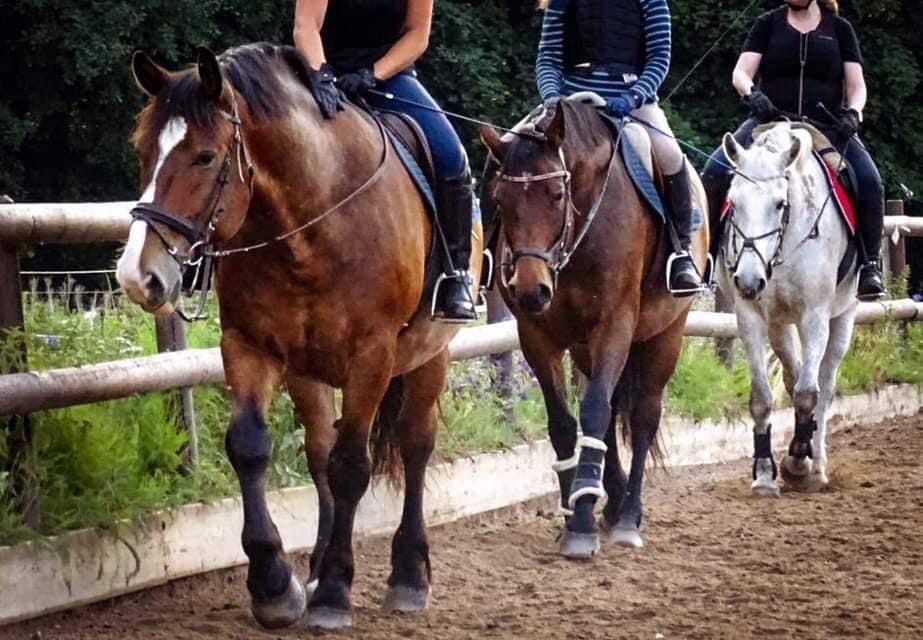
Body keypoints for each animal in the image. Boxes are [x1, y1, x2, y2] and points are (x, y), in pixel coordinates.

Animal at [115, 43, 484, 632]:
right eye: (143, 150)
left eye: (205, 157)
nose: (137, 276)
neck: (312, 219)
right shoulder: (248, 346)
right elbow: (249, 448)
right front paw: (275, 586)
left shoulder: (373, 357)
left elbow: (353, 466)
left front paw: (334, 592)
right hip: (308, 370)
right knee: (318, 451)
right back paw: (316, 567)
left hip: (430, 355)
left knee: (414, 444)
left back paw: (407, 574)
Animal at [480, 97, 712, 556]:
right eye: (499, 196)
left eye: (556, 194)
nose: (530, 290)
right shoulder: (537, 336)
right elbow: (565, 421)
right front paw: (575, 514)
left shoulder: (615, 325)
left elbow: (595, 410)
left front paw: (584, 518)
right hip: (585, 348)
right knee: (609, 411)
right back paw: (613, 504)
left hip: (666, 334)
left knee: (642, 418)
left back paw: (627, 518)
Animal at [720, 124, 860, 496]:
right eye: (733, 202)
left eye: (780, 203)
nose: (749, 279)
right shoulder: (751, 317)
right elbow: (762, 397)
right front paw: (764, 474)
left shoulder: (815, 316)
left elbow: (808, 395)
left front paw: (798, 462)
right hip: (780, 325)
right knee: (792, 371)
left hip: (843, 317)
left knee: (824, 386)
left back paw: (816, 465)